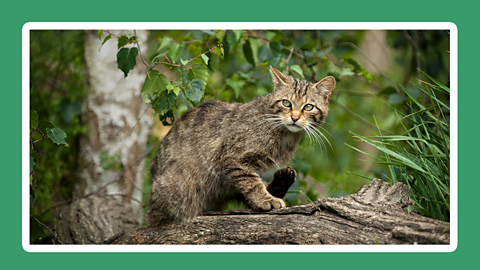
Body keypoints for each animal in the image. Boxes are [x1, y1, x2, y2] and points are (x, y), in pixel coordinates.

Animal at [144, 66, 336, 226]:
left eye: (308, 107)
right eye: (286, 103)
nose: (295, 117)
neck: (284, 134)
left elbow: (252, 185)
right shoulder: (234, 159)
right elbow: (252, 183)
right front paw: (265, 199)